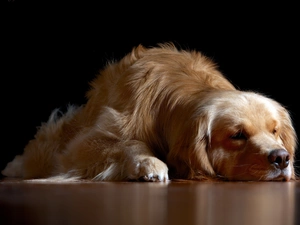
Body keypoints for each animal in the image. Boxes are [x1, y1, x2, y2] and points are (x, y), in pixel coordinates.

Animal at [2, 43, 298, 182]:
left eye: (275, 131)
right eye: (237, 135)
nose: (282, 159)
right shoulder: (83, 145)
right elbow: (128, 142)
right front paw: (148, 163)